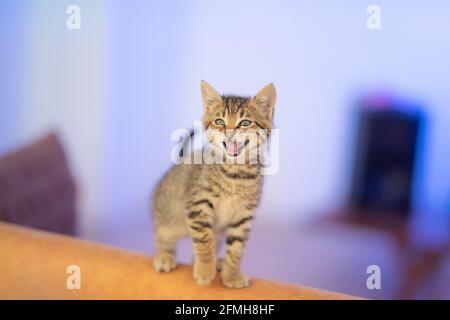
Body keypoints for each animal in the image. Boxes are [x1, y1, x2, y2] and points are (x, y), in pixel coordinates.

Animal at [151, 80, 276, 288]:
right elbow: (203, 239)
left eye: (244, 123)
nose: (230, 133)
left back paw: (218, 262)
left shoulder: (244, 216)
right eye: (220, 122)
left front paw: (231, 275)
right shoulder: (198, 205)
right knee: (163, 235)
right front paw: (204, 269)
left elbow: (236, 248)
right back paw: (164, 256)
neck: (235, 173)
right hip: (168, 213)